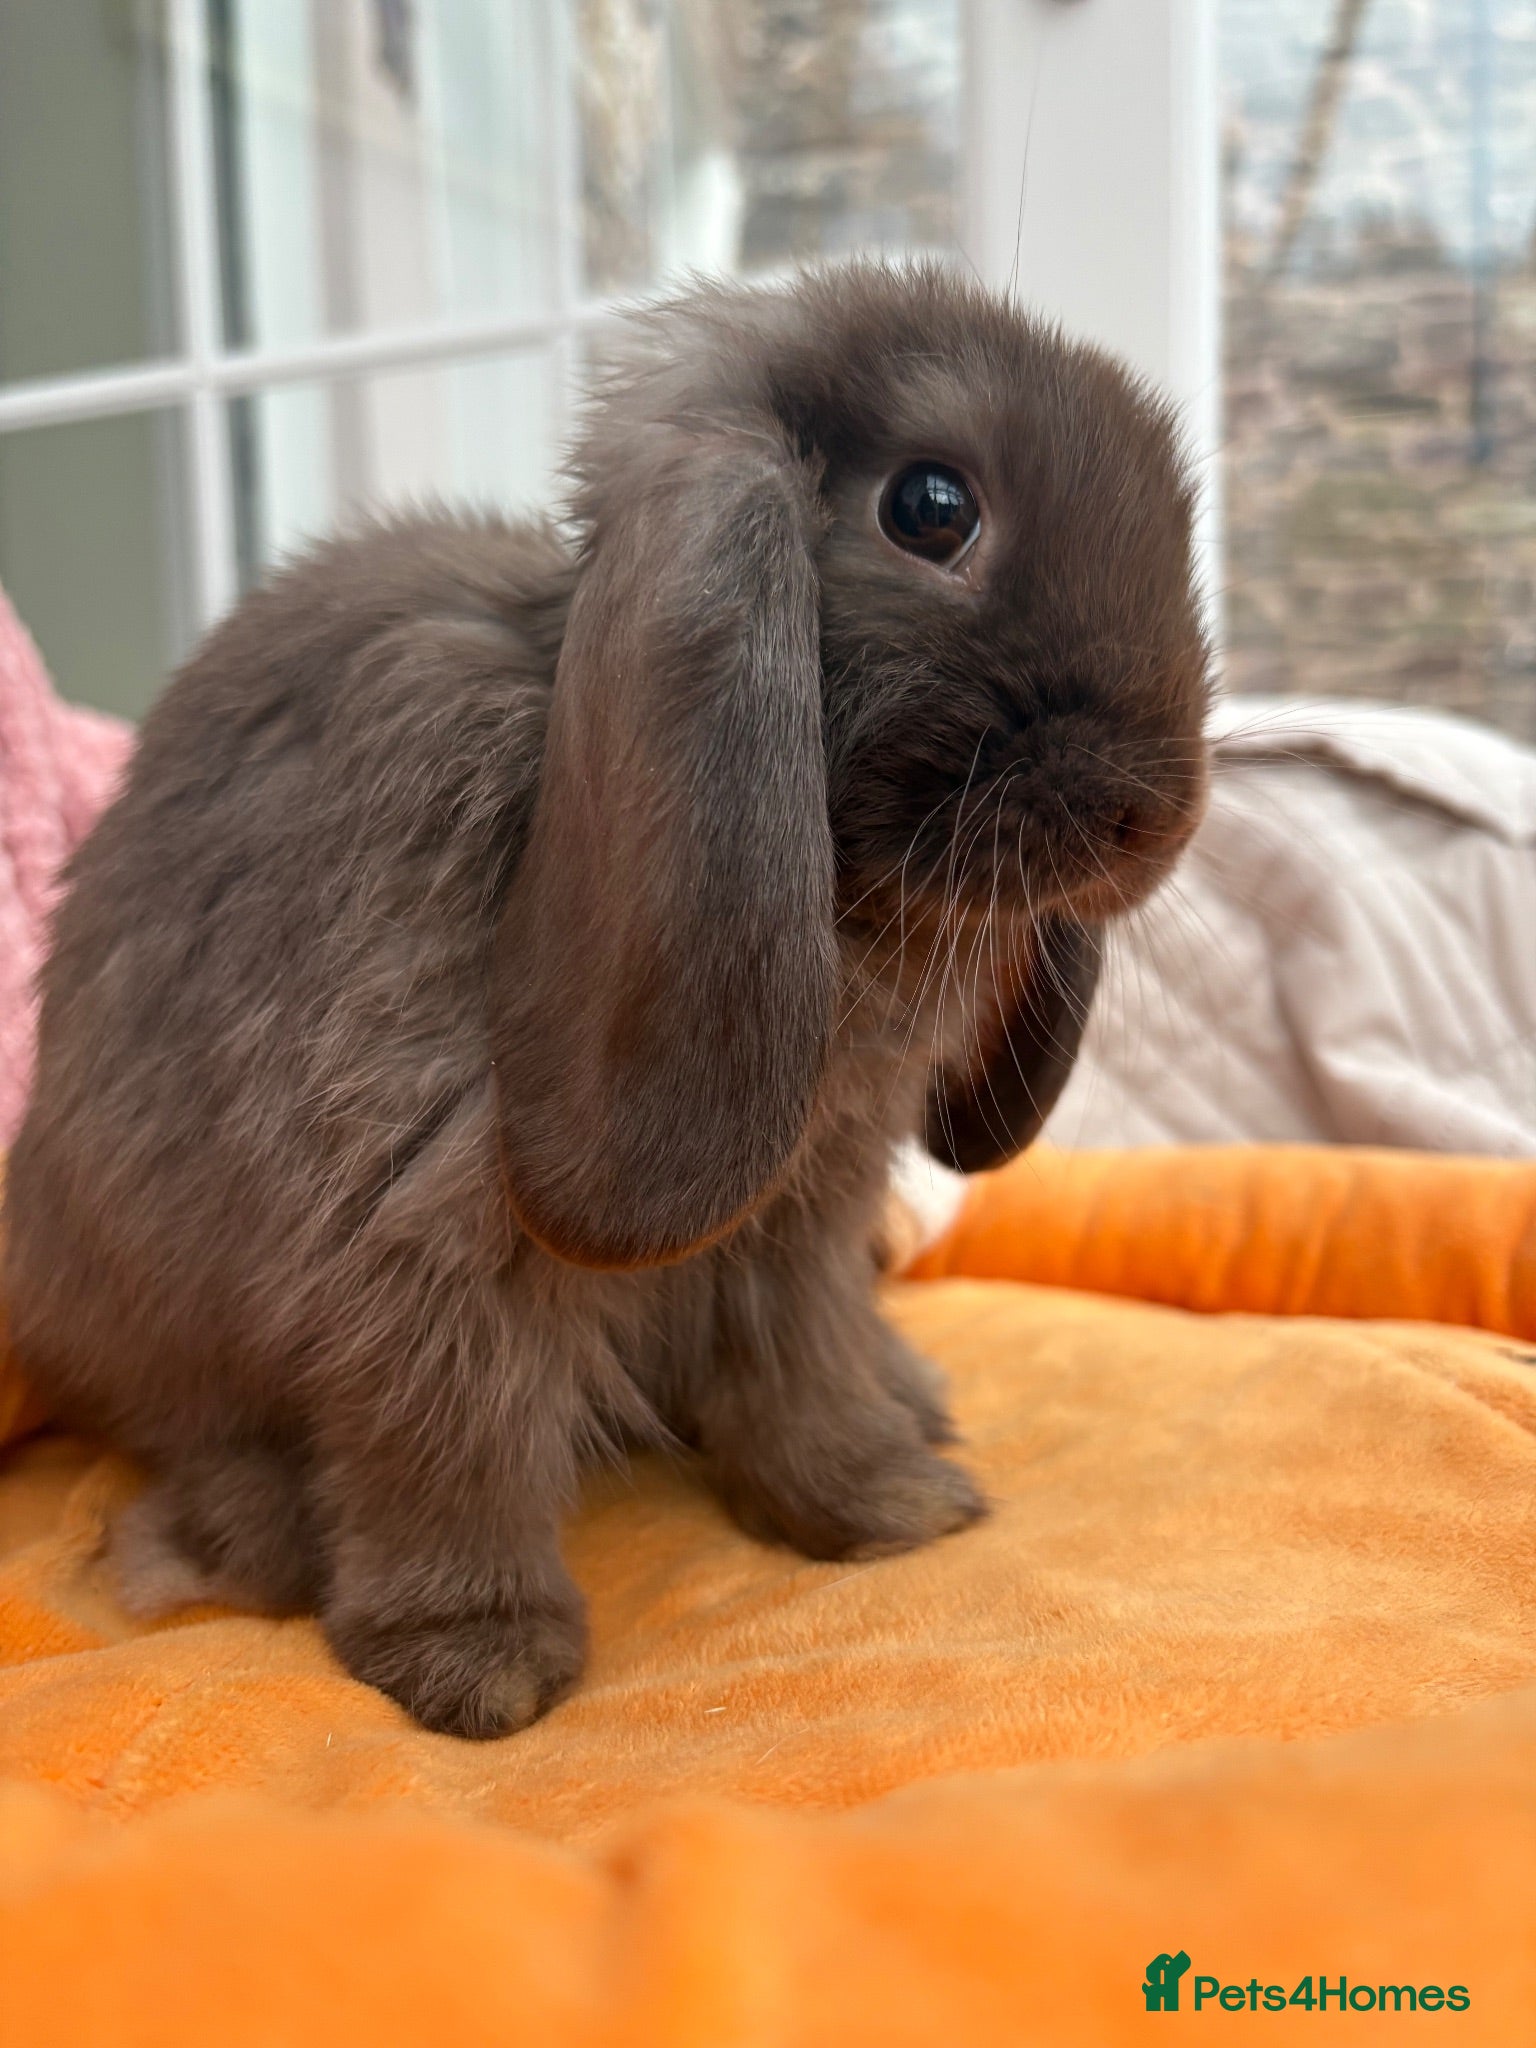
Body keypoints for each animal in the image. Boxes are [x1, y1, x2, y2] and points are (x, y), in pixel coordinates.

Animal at [3, 263, 1210, 1738]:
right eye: (932, 507)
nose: (1154, 813)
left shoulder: (802, 1215)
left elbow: (800, 1369)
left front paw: (888, 1505)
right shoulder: (419, 1226)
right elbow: (447, 1440)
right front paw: (479, 1662)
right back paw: (261, 1535)